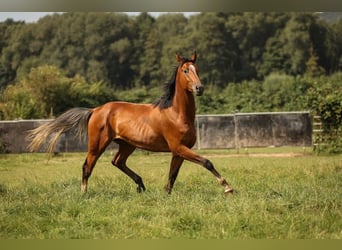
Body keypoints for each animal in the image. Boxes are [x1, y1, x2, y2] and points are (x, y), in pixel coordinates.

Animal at [28, 52, 234, 195]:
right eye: (185, 70)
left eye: (197, 70)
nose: (199, 88)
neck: (177, 114)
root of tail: (95, 110)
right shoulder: (179, 147)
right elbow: (206, 162)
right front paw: (227, 187)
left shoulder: (179, 151)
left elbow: (172, 175)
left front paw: (166, 194)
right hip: (98, 144)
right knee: (87, 166)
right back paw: (84, 193)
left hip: (127, 144)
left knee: (117, 161)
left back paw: (140, 185)